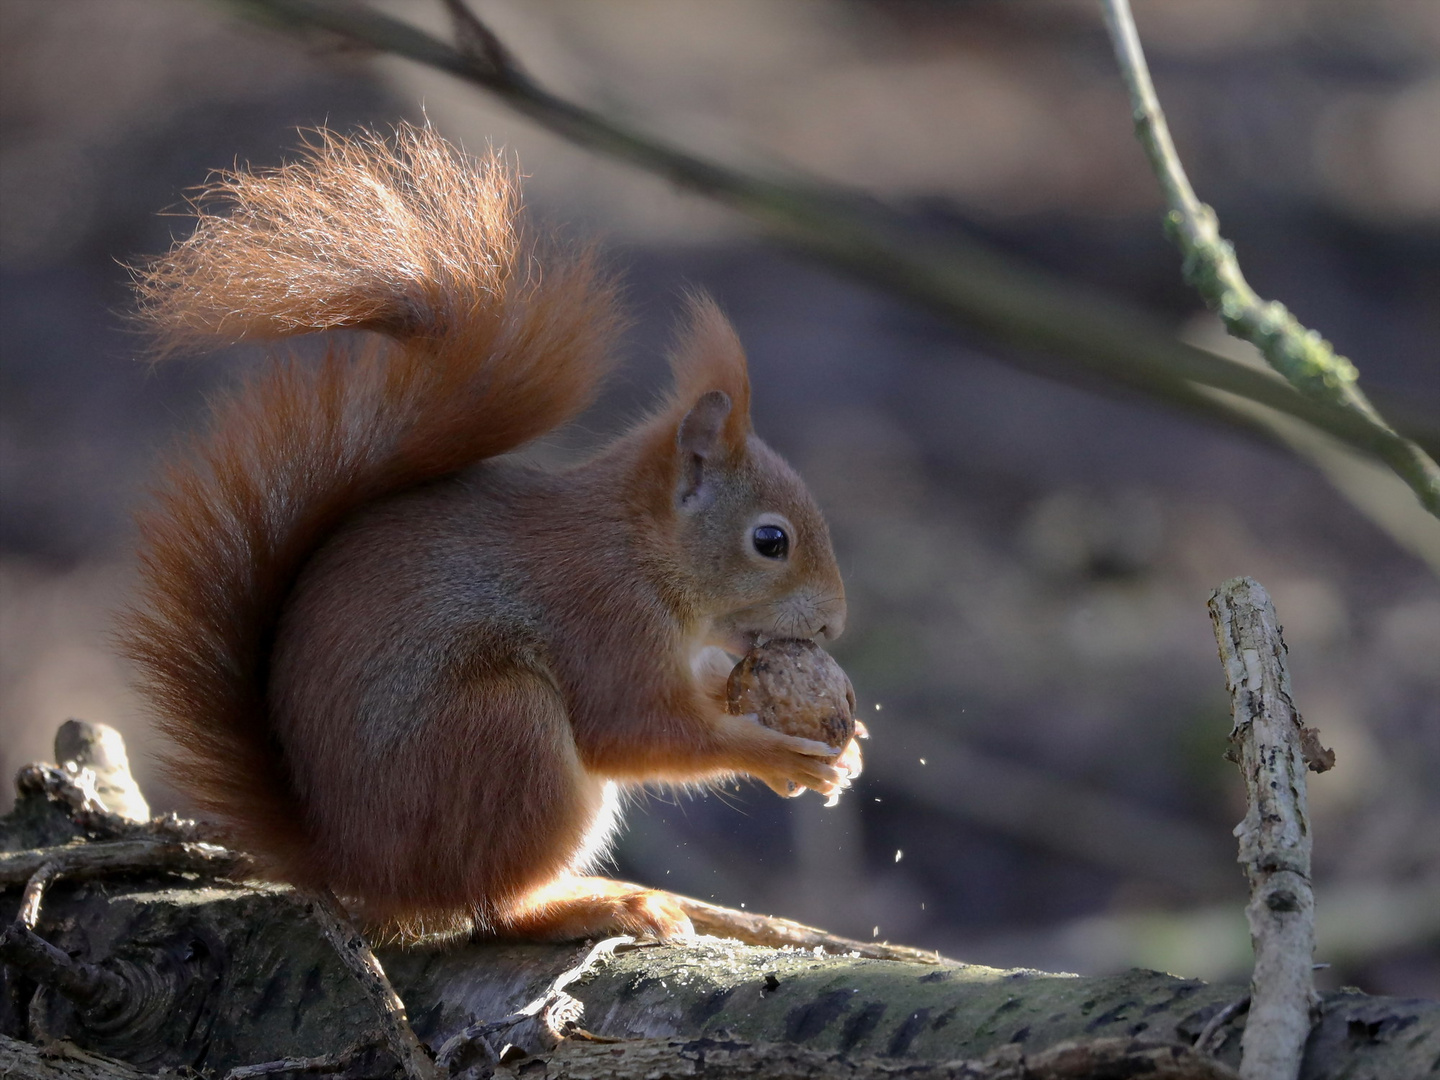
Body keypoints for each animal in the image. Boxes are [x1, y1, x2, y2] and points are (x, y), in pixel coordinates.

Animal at [123, 124, 852, 938]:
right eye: (771, 542)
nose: (834, 624)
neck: (639, 548)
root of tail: (349, 864)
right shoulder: (604, 618)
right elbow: (636, 730)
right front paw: (778, 754)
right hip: (505, 735)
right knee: (493, 905)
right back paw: (599, 901)